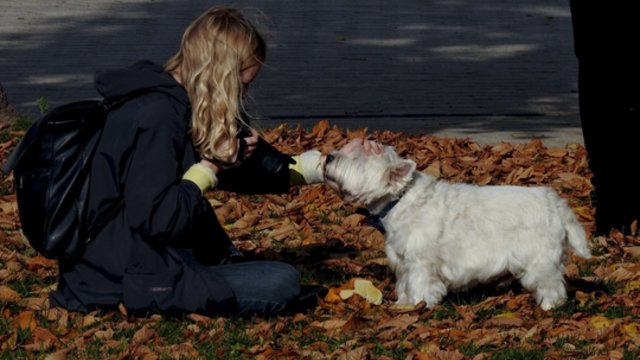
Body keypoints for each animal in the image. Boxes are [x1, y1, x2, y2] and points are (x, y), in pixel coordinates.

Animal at [328, 142, 592, 310]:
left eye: (356, 159)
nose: (329, 156)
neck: (399, 199)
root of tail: (554, 200)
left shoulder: (421, 263)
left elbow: (419, 284)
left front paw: (418, 305)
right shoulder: (402, 262)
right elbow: (404, 284)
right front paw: (403, 304)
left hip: (538, 259)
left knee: (551, 285)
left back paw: (548, 307)